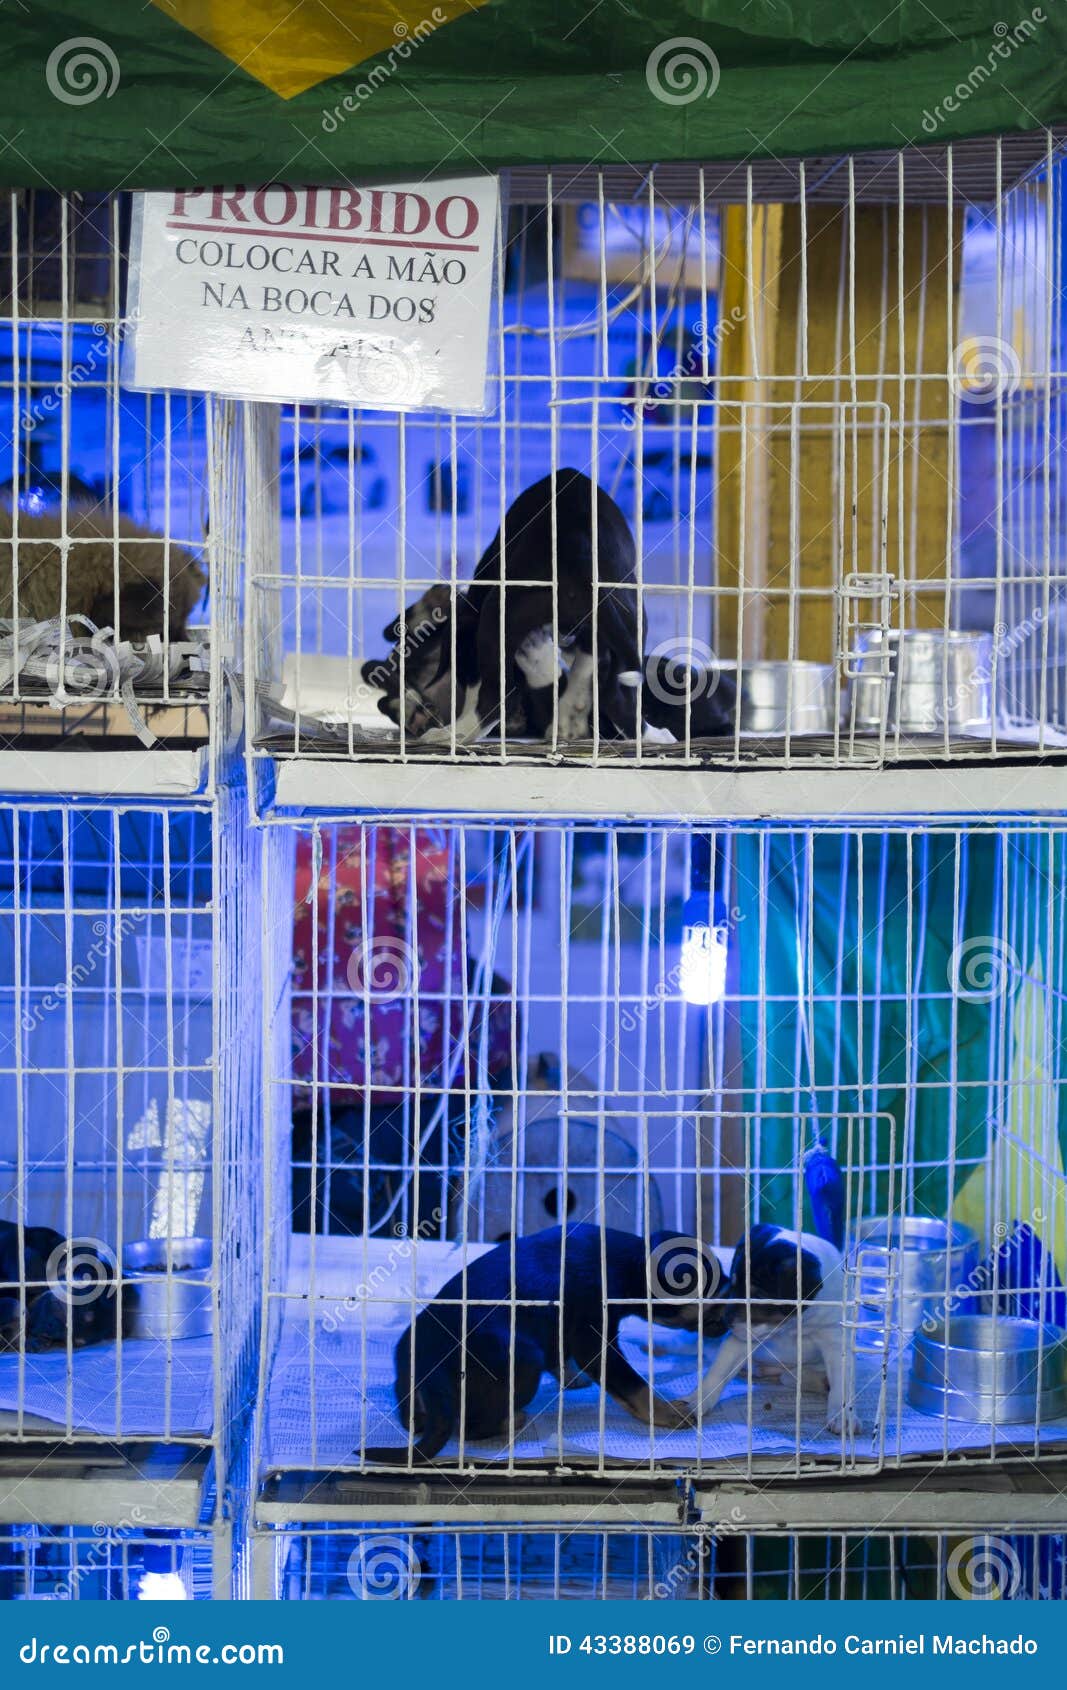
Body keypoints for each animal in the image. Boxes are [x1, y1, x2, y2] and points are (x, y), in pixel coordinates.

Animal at [365, 1230, 716, 1466]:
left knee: (416, 1418)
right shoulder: (592, 1334)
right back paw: (513, 1419)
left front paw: (573, 1379)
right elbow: (632, 1384)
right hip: (522, 1362)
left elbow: (562, 1358)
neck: (625, 1260)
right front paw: (669, 1412)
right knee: (468, 1429)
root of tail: (431, 1363)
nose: (725, 1318)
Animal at [683, 1223, 859, 1433]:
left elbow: (842, 1383)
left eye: (758, 1296)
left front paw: (844, 1416)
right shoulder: (741, 1339)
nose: (726, 1322)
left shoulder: (835, 1339)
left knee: (791, 1377)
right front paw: (694, 1402)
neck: (792, 1326)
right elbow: (717, 1372)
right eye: (733, 1285)